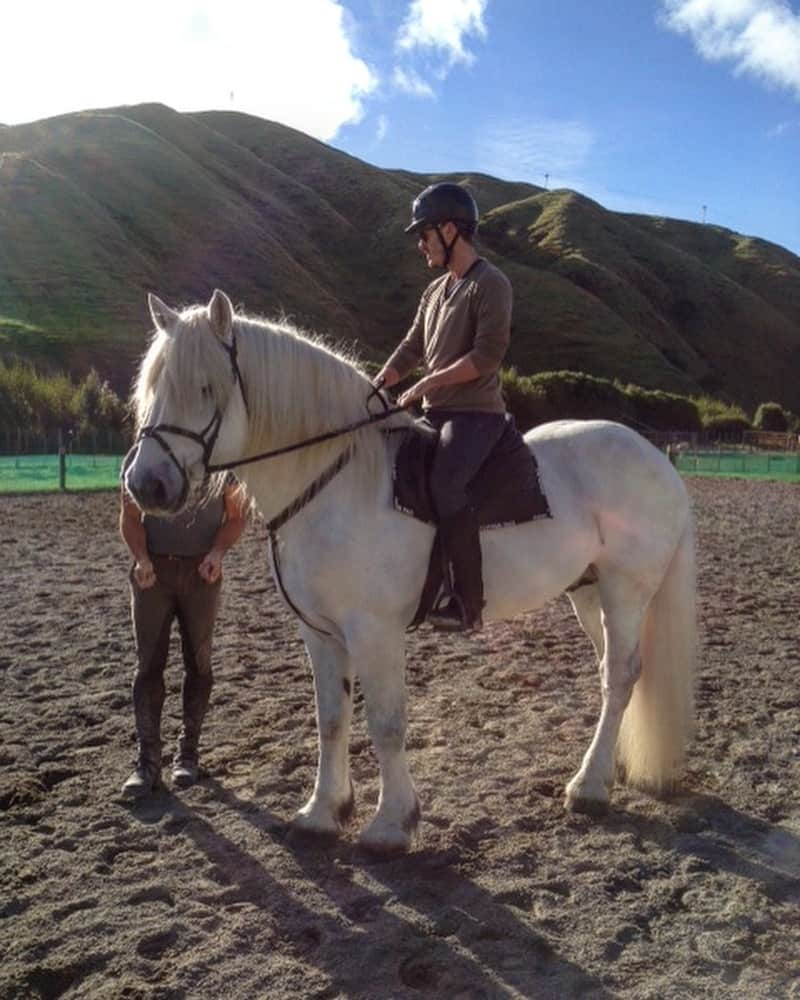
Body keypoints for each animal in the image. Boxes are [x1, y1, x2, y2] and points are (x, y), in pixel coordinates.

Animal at [123, 288, 692, 852]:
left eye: (205, 387)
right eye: (152, 388)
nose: (146, 485)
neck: (335, 481)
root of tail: (654, 457)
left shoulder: (374, 631)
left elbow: (386, 723)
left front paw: (391, 825)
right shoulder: (320, 633)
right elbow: (332, 719)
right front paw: (322, 812)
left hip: (625, 590)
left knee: (620, 677)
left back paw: (589, 787)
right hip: (588, 593)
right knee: (612, 675)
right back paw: (608, 771)